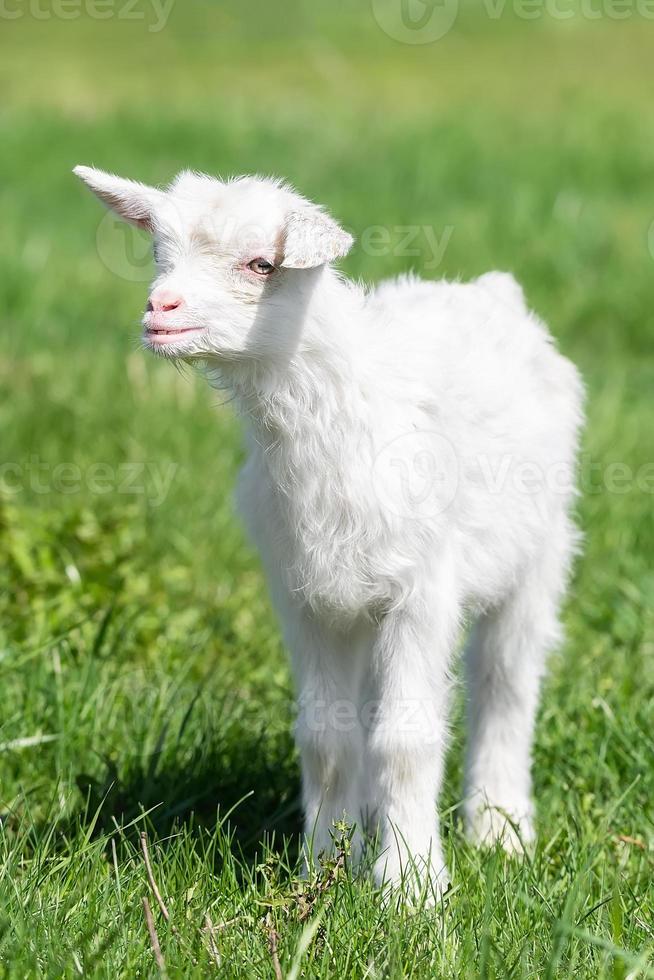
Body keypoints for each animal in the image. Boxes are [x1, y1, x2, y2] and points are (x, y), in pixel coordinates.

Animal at [75, 165, 584, 900]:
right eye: (158, 251)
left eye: (262, 264)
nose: (159, 309)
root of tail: (492, 290)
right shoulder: (305, 596)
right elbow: (326, 736)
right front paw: (324, 868)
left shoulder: (425, 589)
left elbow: (406, 736)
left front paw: (411, 888)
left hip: (541, 551)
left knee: (507, 682)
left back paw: (499, 829)